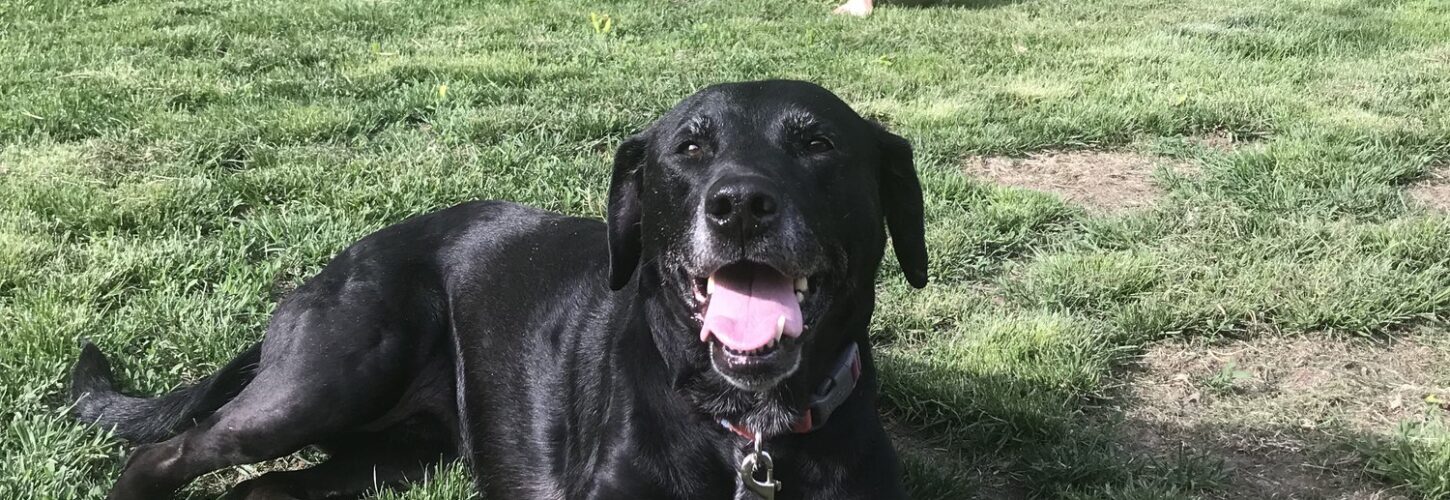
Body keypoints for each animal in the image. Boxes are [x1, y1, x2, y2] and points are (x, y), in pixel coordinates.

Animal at [70, 79, 928, 495]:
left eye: (818, 144)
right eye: (689, 148)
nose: (740, 204)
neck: (749, 433)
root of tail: (317, 280)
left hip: (392, 458)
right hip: (328, 378)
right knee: (167, 454)